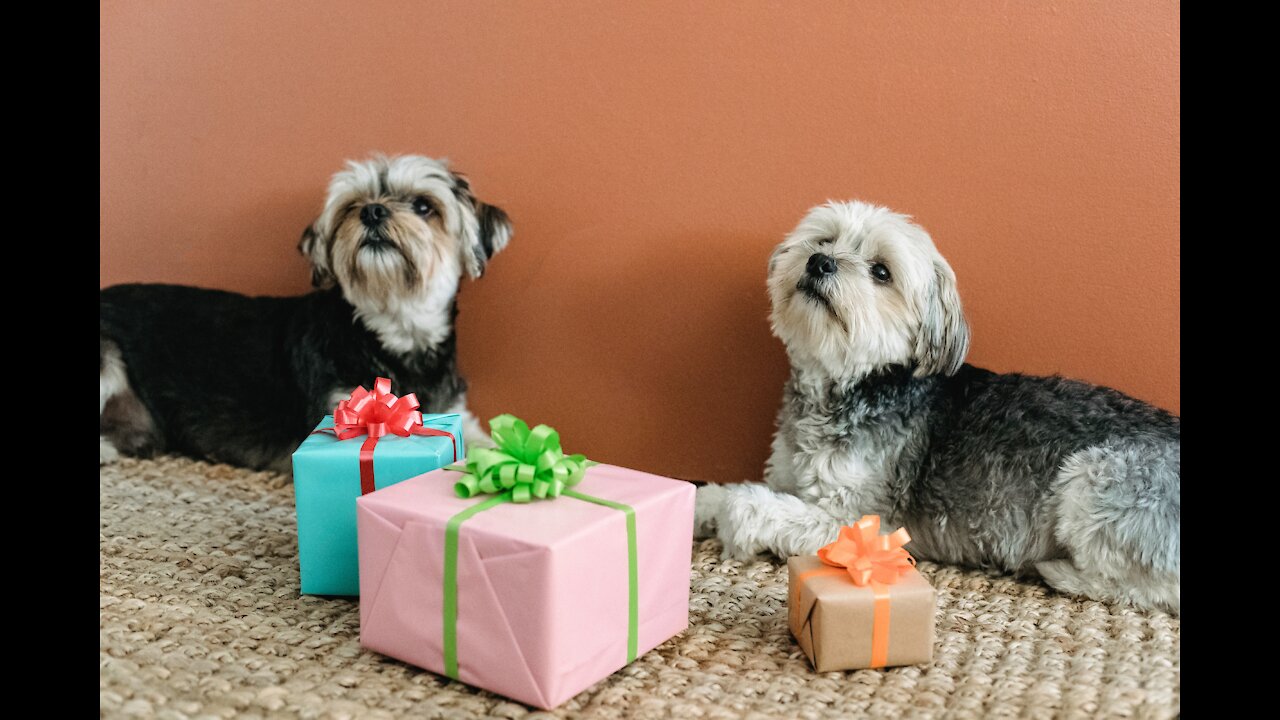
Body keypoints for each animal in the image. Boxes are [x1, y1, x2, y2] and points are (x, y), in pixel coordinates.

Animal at [701, 199, 1177, 609]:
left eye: (881, 271)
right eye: (824, 239)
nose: (819, 261)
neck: (852, 385)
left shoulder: (860, 522)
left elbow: (746, 504)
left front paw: (732, 525)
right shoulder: (788, 477)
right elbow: (715, 494)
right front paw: (699, 507)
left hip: (1092, 480)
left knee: (1149, 589)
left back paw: (1060, 573)